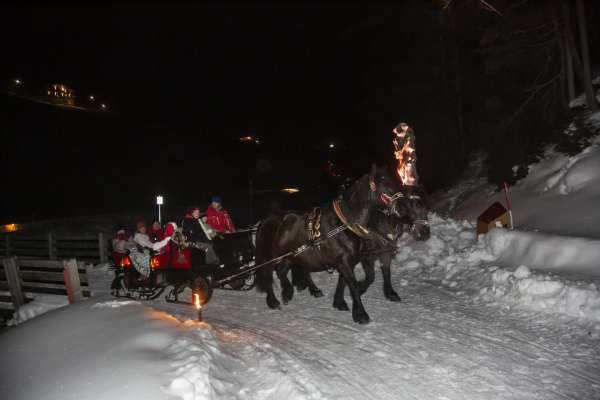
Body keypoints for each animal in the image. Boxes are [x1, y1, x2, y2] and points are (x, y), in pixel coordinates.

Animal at [253, 164, 404, 324]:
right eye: (384, 182)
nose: (402, 209)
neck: (344, 224)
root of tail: (266, 219)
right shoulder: (345, 261)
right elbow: (352, 284)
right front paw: (360, 314)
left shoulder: (349, 261)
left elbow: (345, 281)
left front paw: (339, 302)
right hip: (269, 256)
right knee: (269, 275)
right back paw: (274, 300)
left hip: (293, 255)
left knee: (283, 271)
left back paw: (291, 291)